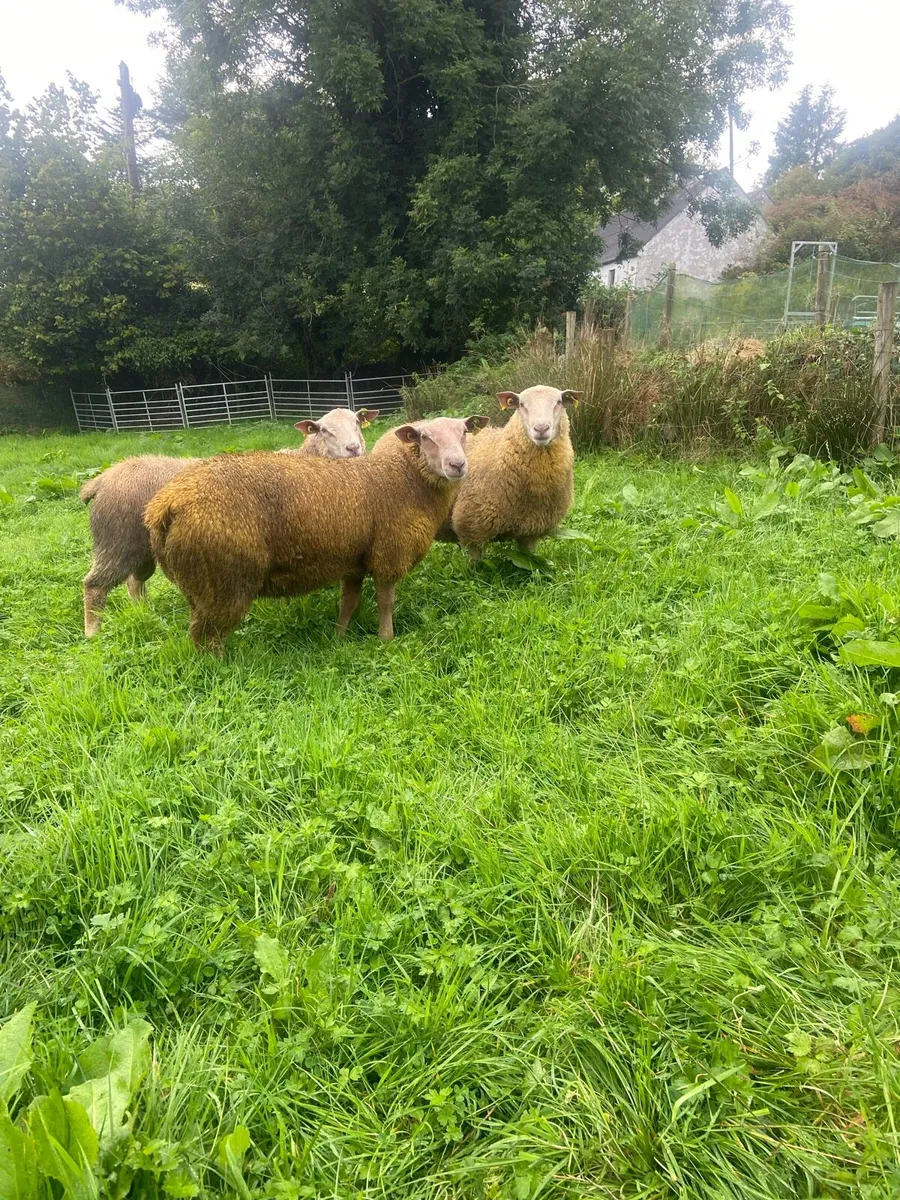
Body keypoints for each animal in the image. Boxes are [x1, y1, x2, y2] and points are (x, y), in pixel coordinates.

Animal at [80, 407, 376, 637]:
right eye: (324, 430)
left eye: (357, 422)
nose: (354, 448)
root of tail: (101, 479)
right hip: (116, 541)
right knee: (94, 585)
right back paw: (94, 634)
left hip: (140, 550)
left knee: (133, 582)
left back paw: (144, 614)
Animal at [144, 414, 488, 654]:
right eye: (425, 437)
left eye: (464, 432)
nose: (457, 465)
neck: (405, 481)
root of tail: (166, 505)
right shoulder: (388, 554)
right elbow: (385, 602)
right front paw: (386, 639)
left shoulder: (354, 561)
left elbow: (348, 602)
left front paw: (339, 636)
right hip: (224, 580)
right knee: (207, 636)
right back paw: (222, 670)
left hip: (197, 582)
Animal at [441, 385, 581, 560]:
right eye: (521, 404)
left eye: (559, 402)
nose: (541, 429)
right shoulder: (472, 526)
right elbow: (475, 563)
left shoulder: (532, 529)